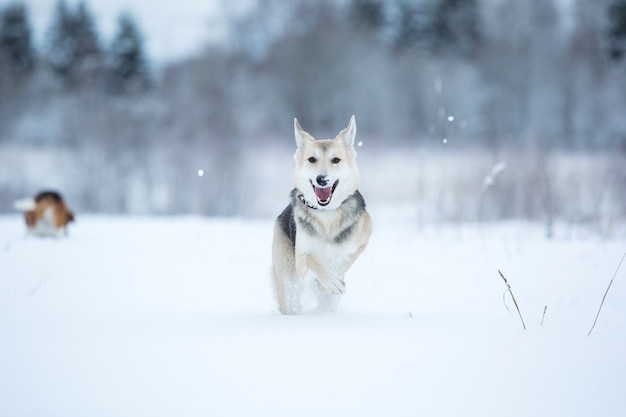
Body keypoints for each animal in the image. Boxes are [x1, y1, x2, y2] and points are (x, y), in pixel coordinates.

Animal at [270, 115, 370, 314]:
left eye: (336, 160)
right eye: (311, 159)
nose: (321, 178)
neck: (327, 213)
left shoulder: (362, 242)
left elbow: (345, 261)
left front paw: (328, 284)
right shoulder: (301, 260)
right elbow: (313, 259)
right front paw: (328, 281)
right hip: (288, 281)